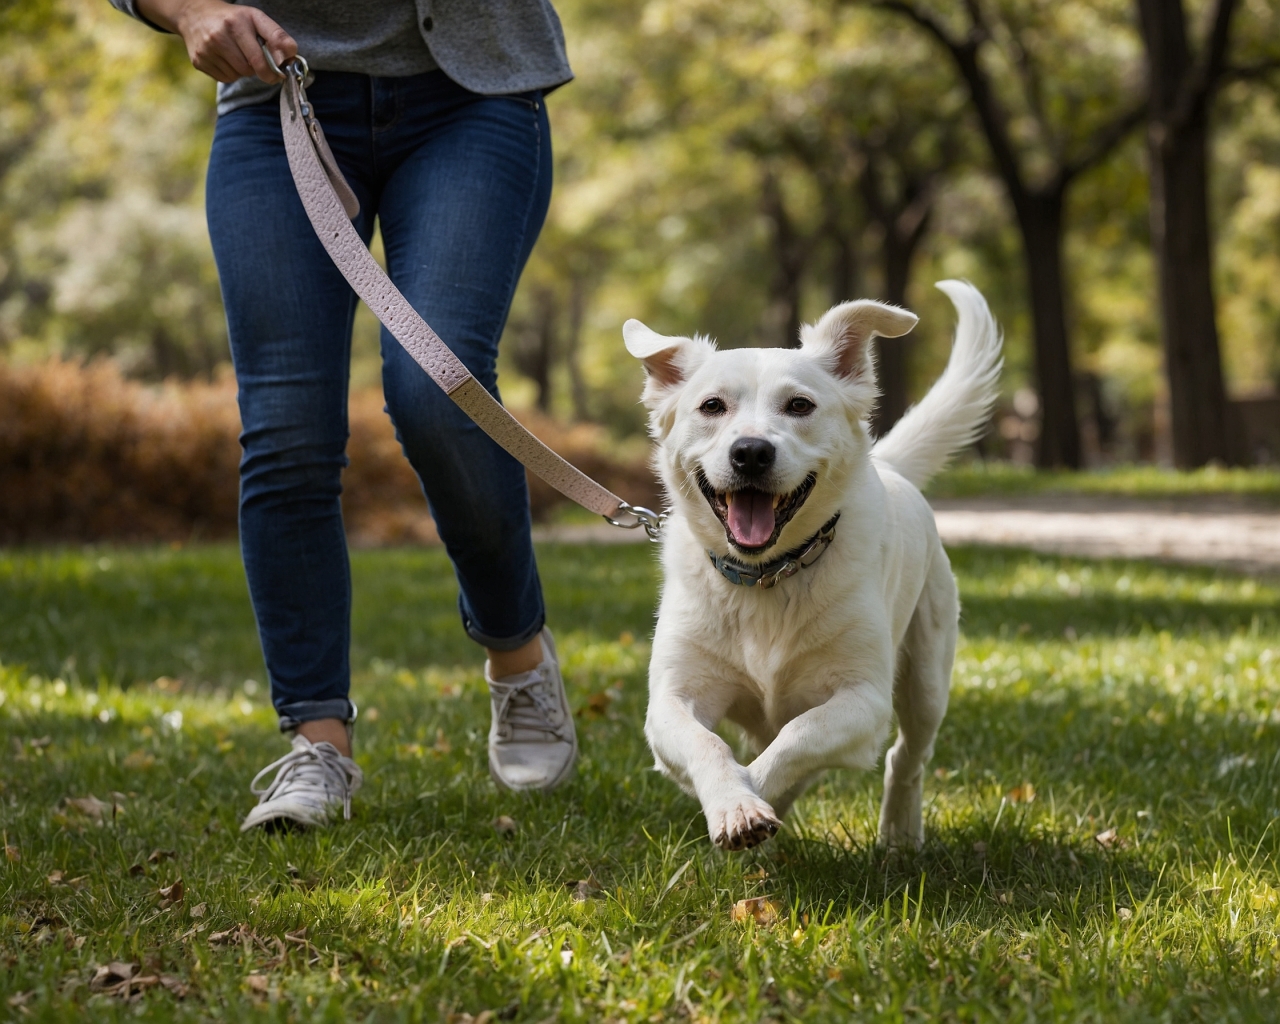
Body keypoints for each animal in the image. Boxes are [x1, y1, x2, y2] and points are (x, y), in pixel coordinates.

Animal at [624, 280, 1003, 849]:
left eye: (799, 405)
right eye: (712, 406)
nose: (750, 452)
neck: (766, 576)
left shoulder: (863, 700)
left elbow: (793, 740)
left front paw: (749, 799)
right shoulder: (673, 699)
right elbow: (711, 746)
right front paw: (735, 804)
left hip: (926, 679)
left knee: (905, 757)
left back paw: (898, 833)